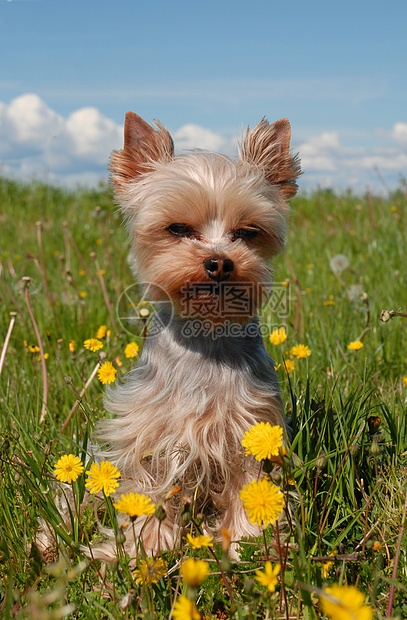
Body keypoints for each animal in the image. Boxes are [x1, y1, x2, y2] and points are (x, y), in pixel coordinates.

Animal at [88, 112, 300, 560]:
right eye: (178, 228)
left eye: (247, 232)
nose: (219, 262)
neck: (207, 337)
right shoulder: (151, 434)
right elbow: (150, 489)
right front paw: (143, 550)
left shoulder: (250, 430)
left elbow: (251, 487)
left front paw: (249, 546)